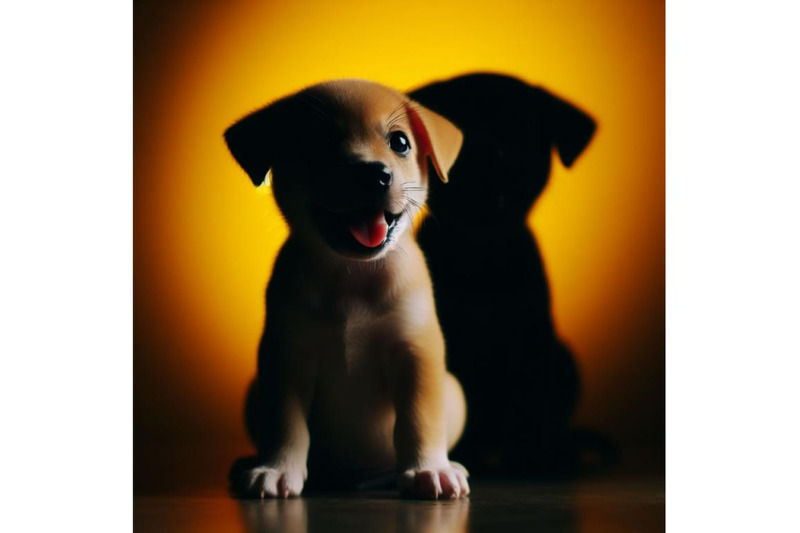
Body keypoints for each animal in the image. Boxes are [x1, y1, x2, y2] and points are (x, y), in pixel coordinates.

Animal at [225, 79, 468, 498]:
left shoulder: (416, 350)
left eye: (400, 142)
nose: (374, 175)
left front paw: (429, 469)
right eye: (318, 142)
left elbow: (419, 417)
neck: (353, 278)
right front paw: (277, 467)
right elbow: (286, 422)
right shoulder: (287, 355)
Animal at [412, 72, 600, 476]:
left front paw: (536, 460)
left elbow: (534, 402)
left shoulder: (534, 336)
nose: (485, 155)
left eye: (522, 132)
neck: (482, 257)